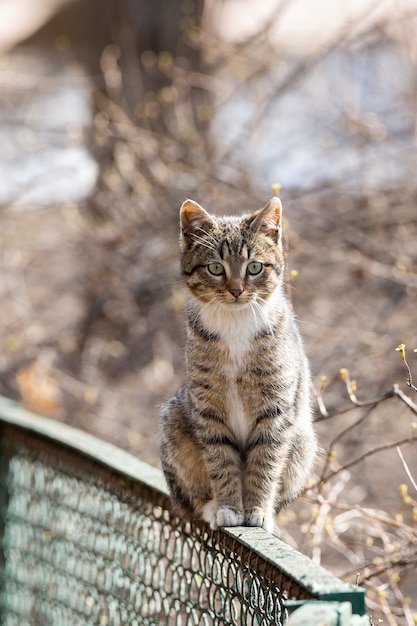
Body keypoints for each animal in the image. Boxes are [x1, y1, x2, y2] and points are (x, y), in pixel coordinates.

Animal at [161, 195, 316, 532]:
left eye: (254, 267)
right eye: (215, 267)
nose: (236, 290)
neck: (235, 322)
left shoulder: (276, 406)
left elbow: (266, 461)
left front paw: (257, 511)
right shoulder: (208, 408)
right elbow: (220, 460)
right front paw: (229, 508)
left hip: (303, 441)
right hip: (174, 422)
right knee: (188, 500)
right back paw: (209, 506)